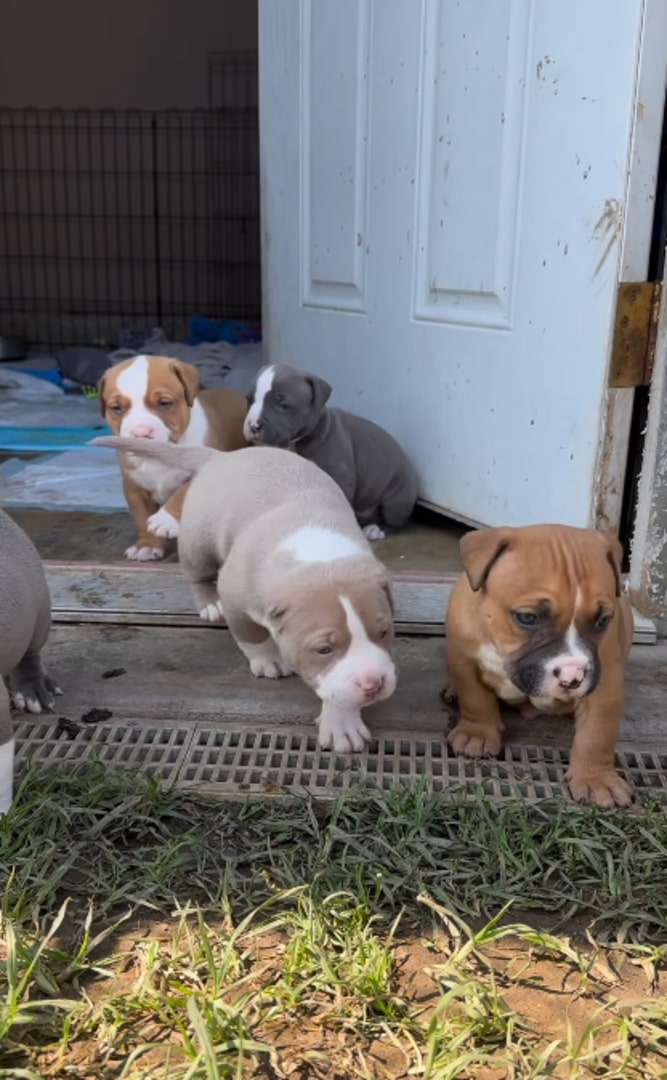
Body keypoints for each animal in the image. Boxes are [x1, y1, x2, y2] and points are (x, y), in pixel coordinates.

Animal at [91, 436, 397, 751]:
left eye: (384, 632)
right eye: (323, 649)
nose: (373, 684)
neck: (317, 556)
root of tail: (221, 457)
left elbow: (338, 688)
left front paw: (342, 723)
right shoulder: (235, 597)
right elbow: (252, 636)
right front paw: (268, 660)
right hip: (197, 538)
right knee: (197, 573)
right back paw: (209, 604)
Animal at [101, 354, 249, 561]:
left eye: (164, 403)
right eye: (116, 408)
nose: (141, 432)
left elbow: (182, 492)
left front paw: (166, 520)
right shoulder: (134, 487)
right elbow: (141, 516)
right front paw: (147, 545)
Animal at [241, 362, 414, 540]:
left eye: (284, 406)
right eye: (249, 400)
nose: (253, 426)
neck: (296, 444)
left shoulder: (340, 476)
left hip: (396, 499)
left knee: (394, 522)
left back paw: (376, 529)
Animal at [438, 522, 630, 812]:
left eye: (602, 620)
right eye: (527, 618)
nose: (573, 676)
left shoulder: (605, 683)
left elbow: (598, 733)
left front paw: (596, 779)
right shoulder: (466, 659)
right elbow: (476, 698)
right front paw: (477, 734)